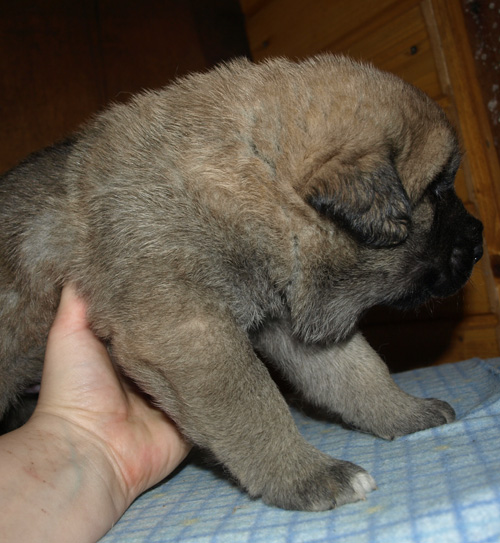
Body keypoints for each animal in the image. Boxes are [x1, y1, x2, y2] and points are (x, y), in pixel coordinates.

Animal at [0, 57, 484, 512]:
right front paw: (308, 476)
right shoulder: (189, 332)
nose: (480, 242)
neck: (253, 181)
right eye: (438, 189)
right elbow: (254, 405)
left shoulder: (288, 316)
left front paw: (405, 412)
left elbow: (359, 373)